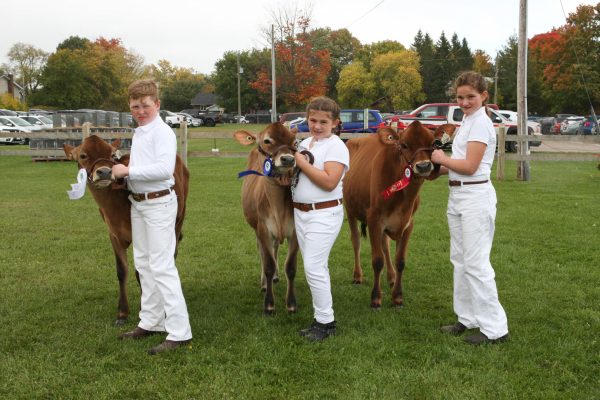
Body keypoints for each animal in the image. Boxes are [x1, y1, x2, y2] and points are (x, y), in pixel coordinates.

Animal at [63, 136, 188, 324]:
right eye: (83, 155)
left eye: (111, 154)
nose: (104, 172)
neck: (114, 206)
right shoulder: (113, 235)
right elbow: (122, 271)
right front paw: (122, 313)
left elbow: (140, 273)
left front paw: (145, 310)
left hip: (178, 220)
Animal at [234, 122, 300, 316]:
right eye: (267, 141)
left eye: (294, 141)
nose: (288, 159)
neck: (278, 206)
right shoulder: (262, 228)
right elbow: (268, 264)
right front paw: (269, 305)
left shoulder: (295, 230)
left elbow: (291, 267)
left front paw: (291, 304)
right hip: (256, 228)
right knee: (263, 253)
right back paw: (264, 283)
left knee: (275, 247)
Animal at [342, 122, 454, 310]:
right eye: (404, 145)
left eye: (433, 143)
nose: (424, 166)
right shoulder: (374, 220)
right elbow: (377, 260)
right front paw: (376, 298)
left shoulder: (408, 224)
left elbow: (400, 260)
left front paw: (397, 297)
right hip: (349, 209)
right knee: (356, 240)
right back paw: (357, 275)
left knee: (385, 245)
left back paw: (391, 277)